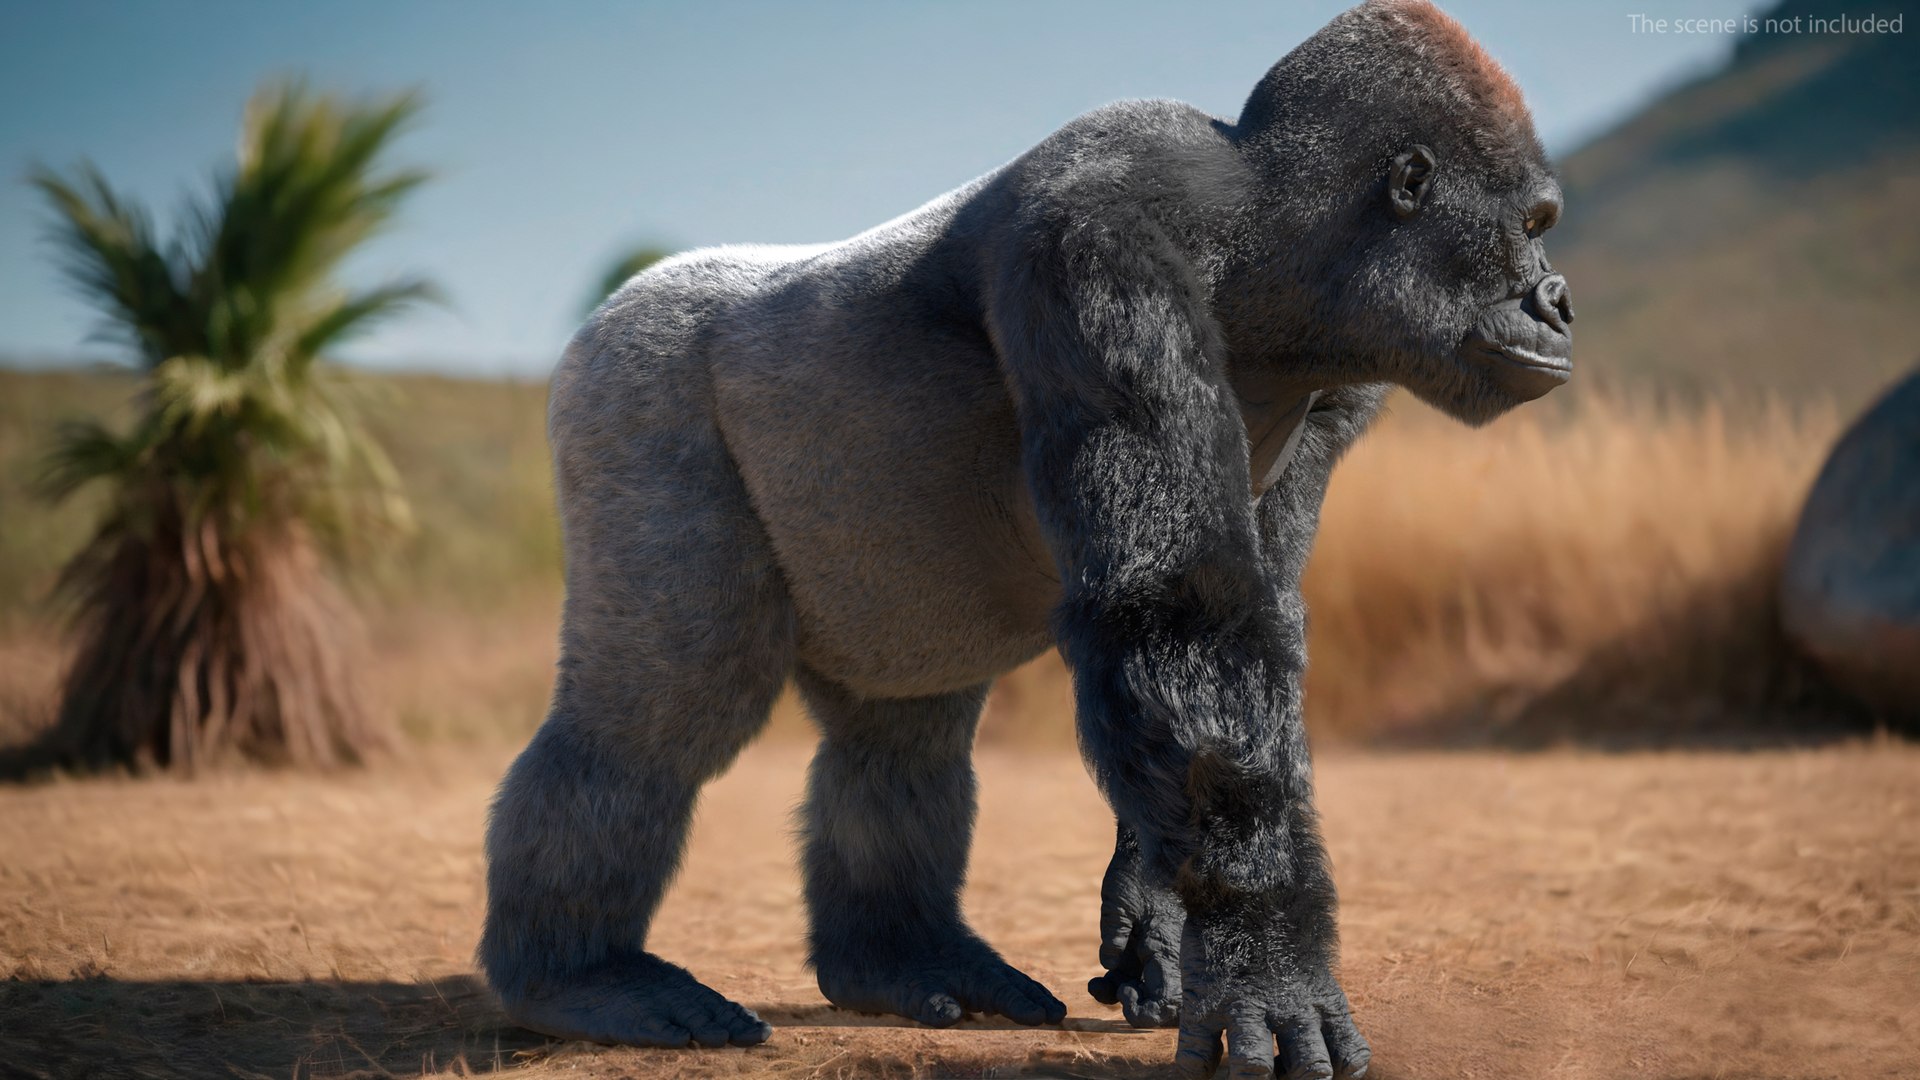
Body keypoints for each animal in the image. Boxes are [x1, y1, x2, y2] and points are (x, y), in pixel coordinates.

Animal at [479, 2, 1573, 1076]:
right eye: (1532, 225)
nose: (1558, 300)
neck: (1272, 246)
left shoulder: (1345, 375)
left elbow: (1226, 627)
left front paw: (1158, 914)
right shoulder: (1100, 240)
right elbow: (1177, 608)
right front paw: (1267, 959)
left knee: (898, 736)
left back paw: (901, 956)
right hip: (627, 374)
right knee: (659, 711)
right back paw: (575, 975)